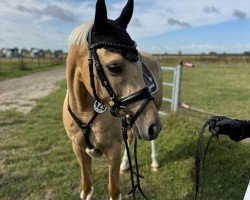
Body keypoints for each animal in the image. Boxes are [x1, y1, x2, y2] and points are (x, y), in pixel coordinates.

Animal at [63, 0, 162, 199]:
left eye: (140, 63)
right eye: (114, 67)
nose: (153, 126)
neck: (84, 111)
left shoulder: (113, 150)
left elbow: (114, 190)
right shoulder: (78, 149)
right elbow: (87, 188)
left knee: (151, 141)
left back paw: (154, 162)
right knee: (131, 137)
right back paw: (125, 166)